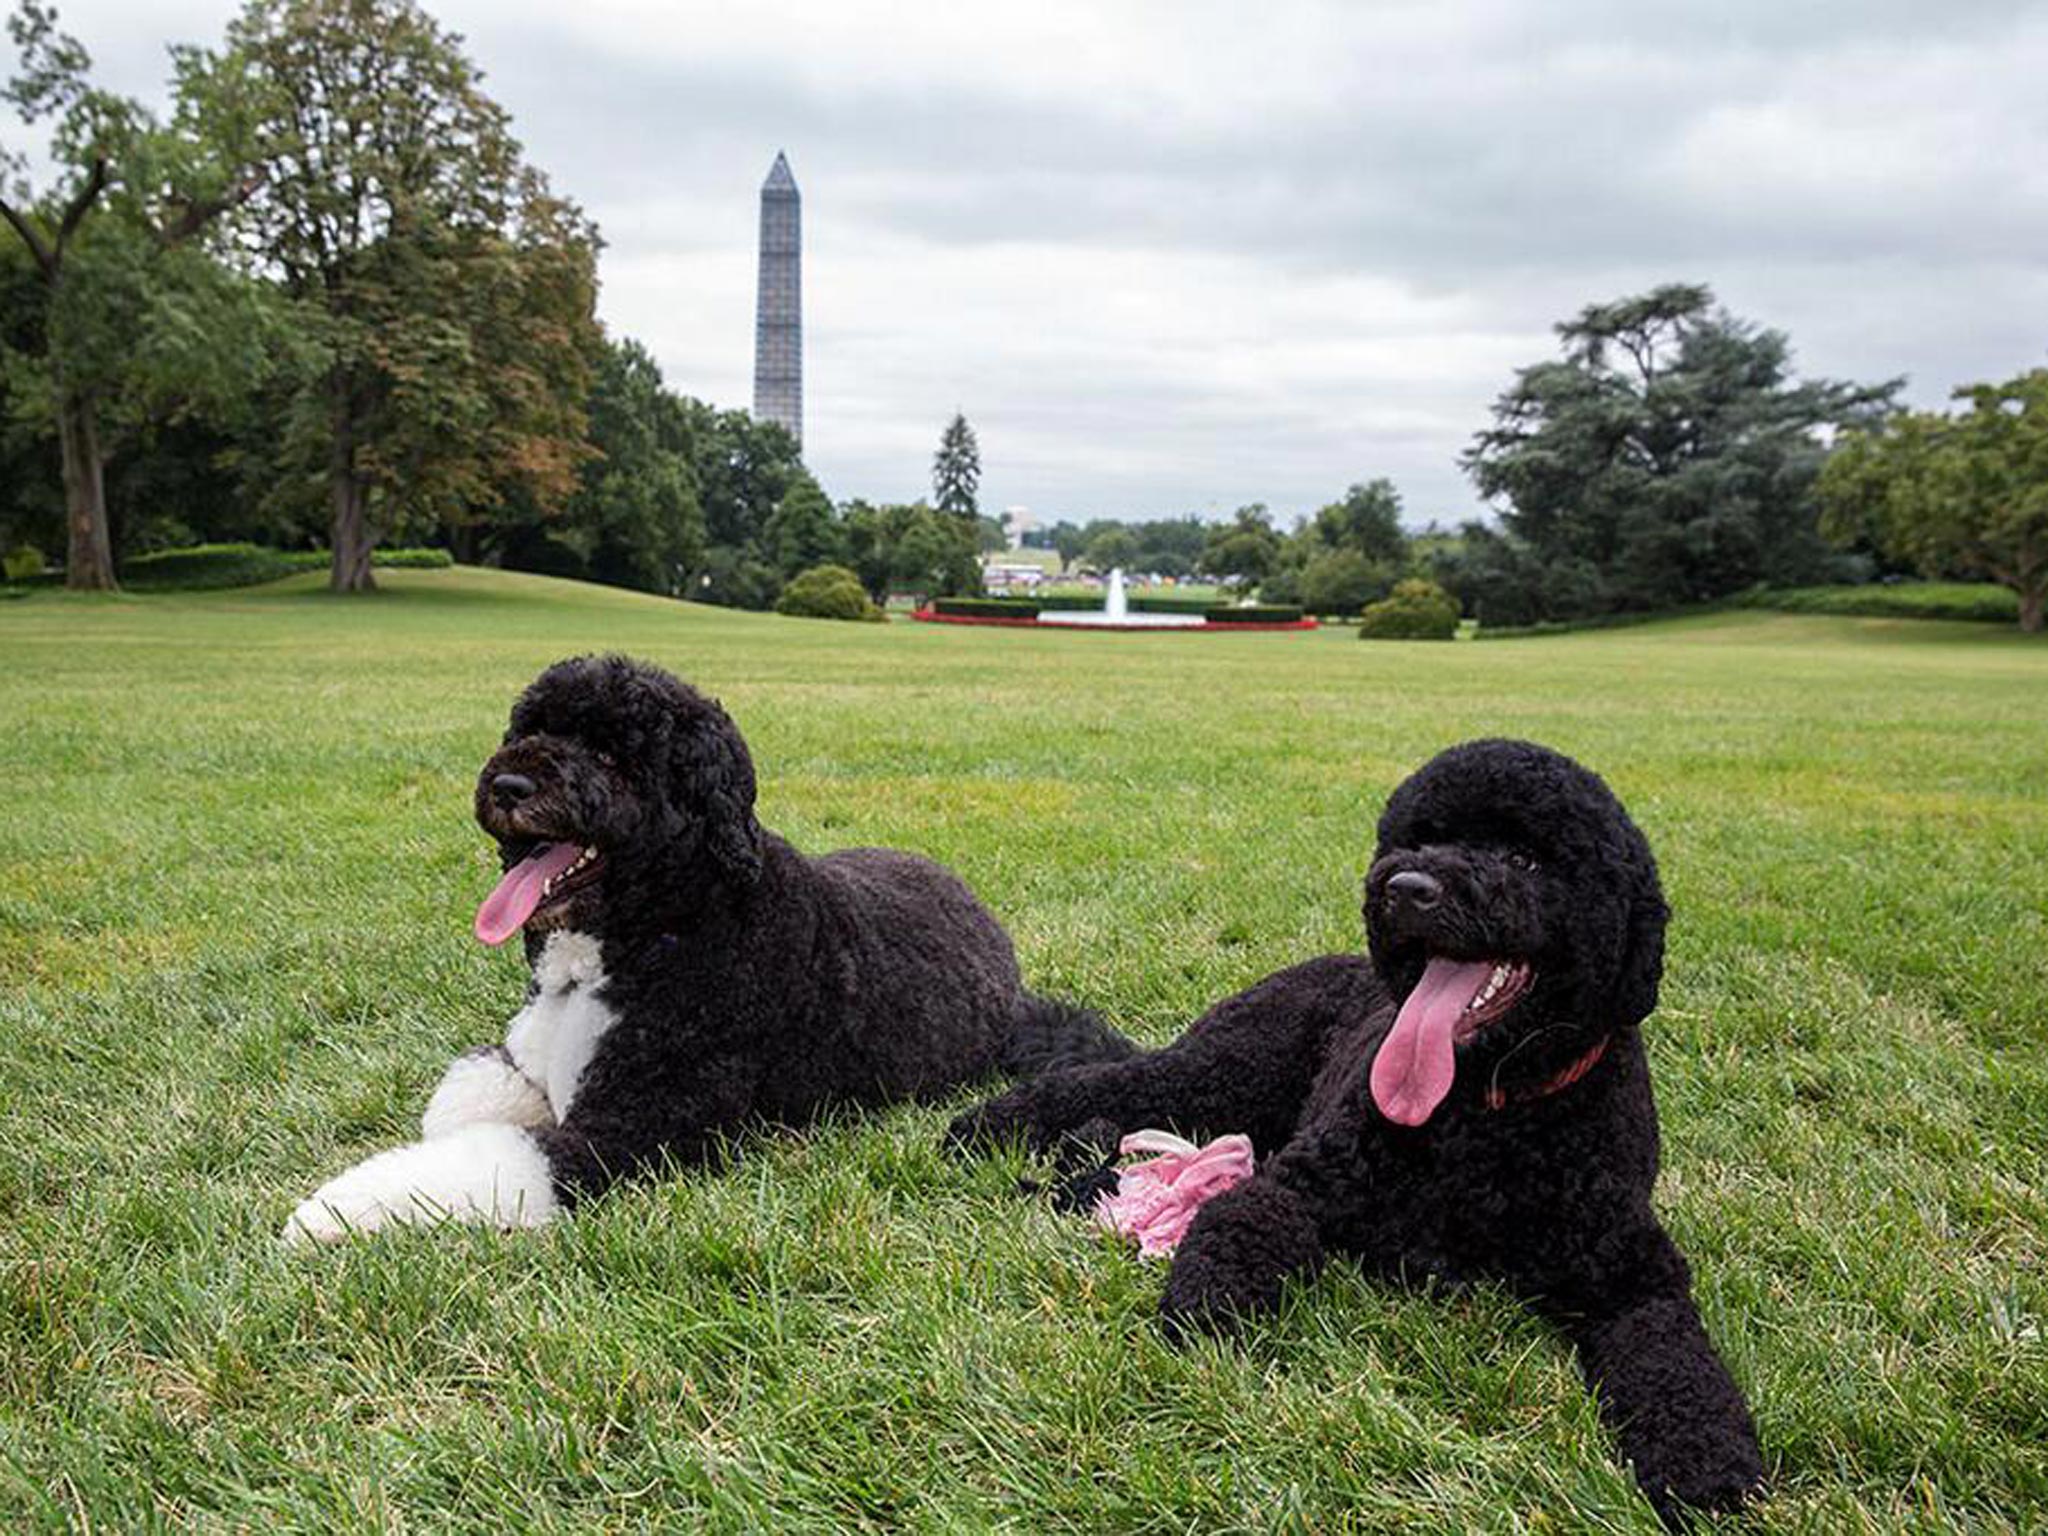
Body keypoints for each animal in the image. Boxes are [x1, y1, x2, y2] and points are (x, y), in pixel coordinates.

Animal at [284, 655, 1138, 1245]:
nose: (510, 786)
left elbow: (496, 1155)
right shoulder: (524, 1058)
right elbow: (466, 1101)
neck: (653, 930)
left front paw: (331, 1211)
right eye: (532, 728)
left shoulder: (632, 1131)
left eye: (614, 757)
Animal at [950, 741, 1769, 1531]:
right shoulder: (1302, 1183)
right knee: (1110, 1082)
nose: (1406, 887)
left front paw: (1708, 1466)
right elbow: (1242, 1222)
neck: (1487, 1111)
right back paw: (983, 1125)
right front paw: (1208, 1311)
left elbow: (1678, 1363)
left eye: (1525, 858)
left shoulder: (1632, 1274)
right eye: (1422, 836)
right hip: (1221, 1072)